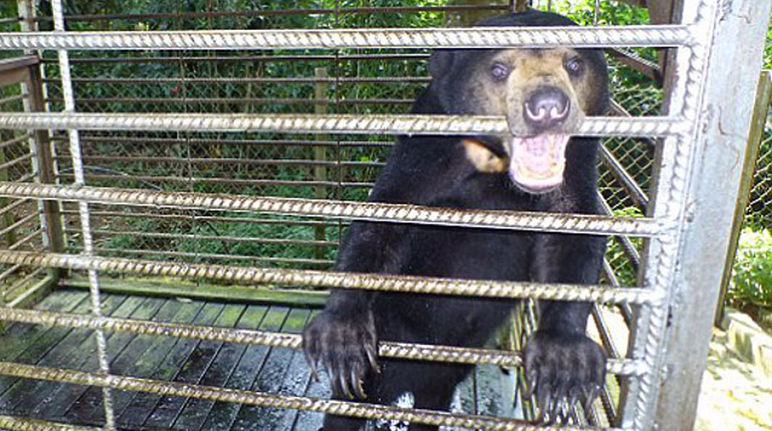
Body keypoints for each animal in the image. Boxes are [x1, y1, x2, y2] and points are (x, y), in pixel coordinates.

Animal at [302, 10, 608, 431]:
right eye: (499, 68)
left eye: (574, 64)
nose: (548, 106)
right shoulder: (429, 144)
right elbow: (385, 215)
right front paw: (341, 329)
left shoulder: (577, 160)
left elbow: (572, 231)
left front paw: (565, 358)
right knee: (349, 403)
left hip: (450, 365)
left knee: (434, 398)